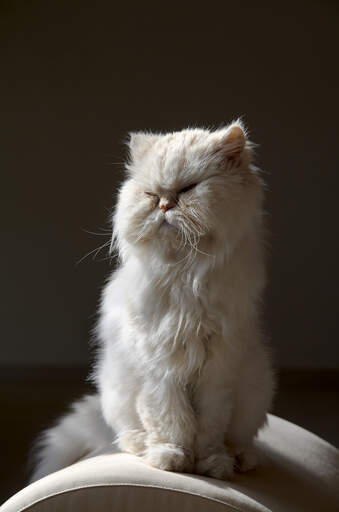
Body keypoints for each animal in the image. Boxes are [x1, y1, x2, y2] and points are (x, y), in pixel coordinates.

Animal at [30, 122, 276, 482]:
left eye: (188, 189)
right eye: (151, 194)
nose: (163, 206)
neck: (184, 273)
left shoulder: (217, 370)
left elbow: (209, 431)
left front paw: (212, 466)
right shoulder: (160, 369)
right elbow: (172, 422)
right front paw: (171, 460)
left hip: (256, 387)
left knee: (240, 439)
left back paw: (241, 459)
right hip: (116, 388)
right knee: (127, 433)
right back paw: (143, 447)